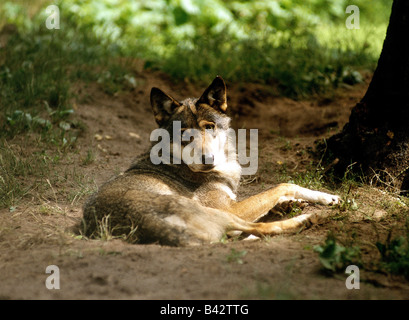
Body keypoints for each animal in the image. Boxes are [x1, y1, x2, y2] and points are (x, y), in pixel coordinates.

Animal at [81, 76, 340, 246]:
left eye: (209, 127)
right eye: (184, 135)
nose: (208, 159)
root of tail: (144, 222)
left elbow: (273, 195)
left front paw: (290, 203)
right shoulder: (230, 207)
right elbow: (282, 185)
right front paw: (328, 197)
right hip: (217, 213)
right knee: (256, 229)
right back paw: (305, 220)